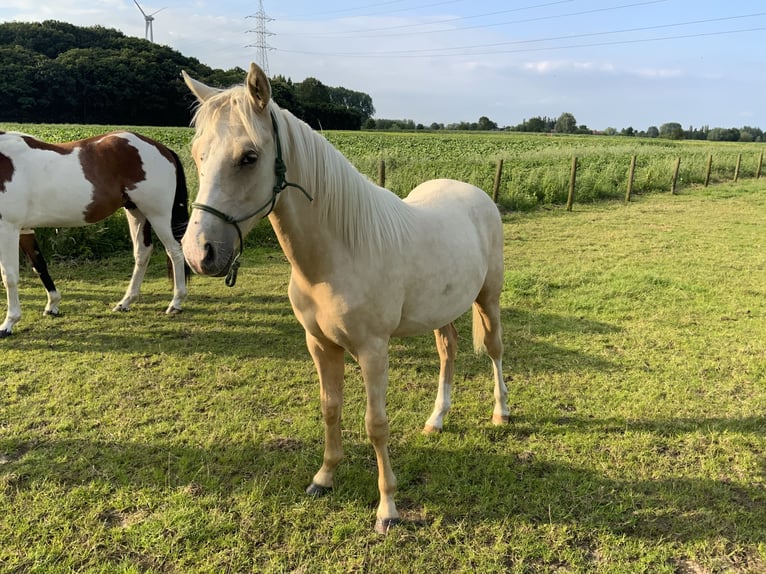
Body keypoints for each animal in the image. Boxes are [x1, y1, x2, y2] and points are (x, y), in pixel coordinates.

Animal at [0, 130, 191, 338]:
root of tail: (163, 148)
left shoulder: (8, 228)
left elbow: (9, 276)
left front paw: (8, 323)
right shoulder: (24, 229)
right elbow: (40, 265)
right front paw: (53, 305)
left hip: (158, 214)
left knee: (175, 251)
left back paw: (176, 303)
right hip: (136, 211)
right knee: (143, 253)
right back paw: (125, 302)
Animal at [183, 64, 512, 536]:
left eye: (249, 157)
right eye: (197, 154)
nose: (199, 253)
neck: (338, 253)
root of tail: (477, 193)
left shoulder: (373, 350)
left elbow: (376, 424)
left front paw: (388, 509)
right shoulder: (320, 345)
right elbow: (330, 409)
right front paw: (324, 478)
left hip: (489, 297)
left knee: (496, 350)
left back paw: (501, 413)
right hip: (442, 310)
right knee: (448, 351)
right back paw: (436, 420)